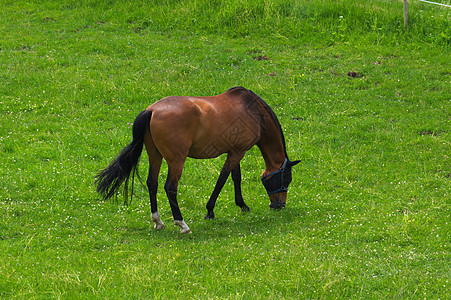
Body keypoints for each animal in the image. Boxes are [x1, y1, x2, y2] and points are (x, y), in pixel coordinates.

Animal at [95, 85, 300, 233]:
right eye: (287, 179)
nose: (279, 205)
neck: (254, 112)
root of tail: (152, 110)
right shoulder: (237, 152)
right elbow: (222, 179)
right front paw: (210, 210)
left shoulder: (235, 151)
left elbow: (236, 178)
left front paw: (242, 205)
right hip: (176, 161)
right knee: (170, 187)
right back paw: (181, 223)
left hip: (155, 155)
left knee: (152, 183)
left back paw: (158, 221)